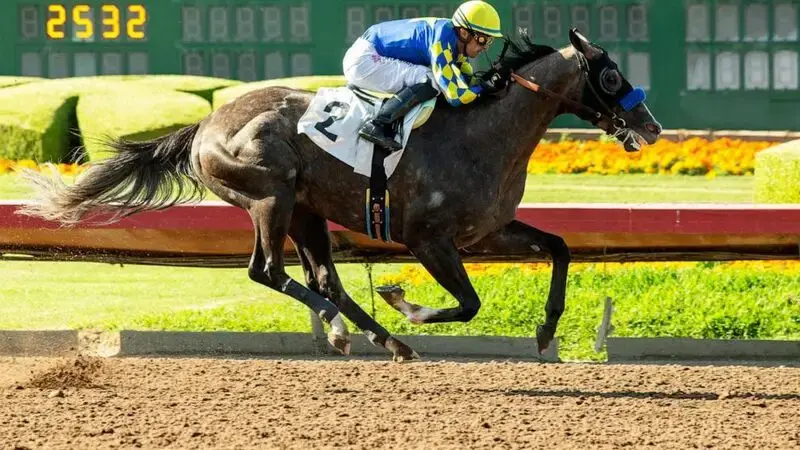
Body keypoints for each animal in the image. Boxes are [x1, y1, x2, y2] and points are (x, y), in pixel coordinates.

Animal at [18, 29, 664, 362]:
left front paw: (546, 331)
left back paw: (384, 339)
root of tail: (205, 124)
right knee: (268, 271)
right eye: (610, 76)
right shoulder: (429, 241)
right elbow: (468, 304)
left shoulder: (488, 229)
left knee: (323, 278)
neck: (482, 134)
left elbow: (559, 247)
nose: (652, 126)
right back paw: (349, 329)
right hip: (270, 196)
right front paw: (407, 301)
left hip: (307, 210)